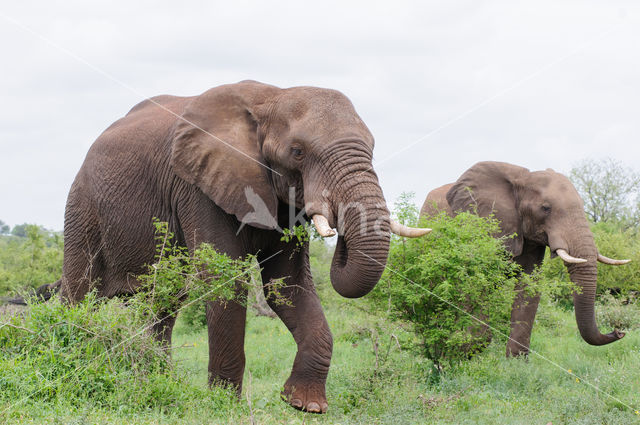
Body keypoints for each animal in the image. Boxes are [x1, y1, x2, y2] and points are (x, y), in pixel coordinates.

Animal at [43, 78, 430, 410]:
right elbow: (224, 279)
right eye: (297, 151)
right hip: (82, 206)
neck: (272, 97)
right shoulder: (197, 186)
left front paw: (304, 404)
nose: (337, 233)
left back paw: (155, 378)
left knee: (165, 303)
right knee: (81, 292)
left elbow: (286, 283)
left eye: (373, 149)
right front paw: (224, 404)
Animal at [422, 161, 628, 356]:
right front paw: (466, 351)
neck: (523, 179)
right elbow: (478, 284)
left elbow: (529, 287)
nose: (618, 331)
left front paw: (517, 362)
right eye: (545, 208)